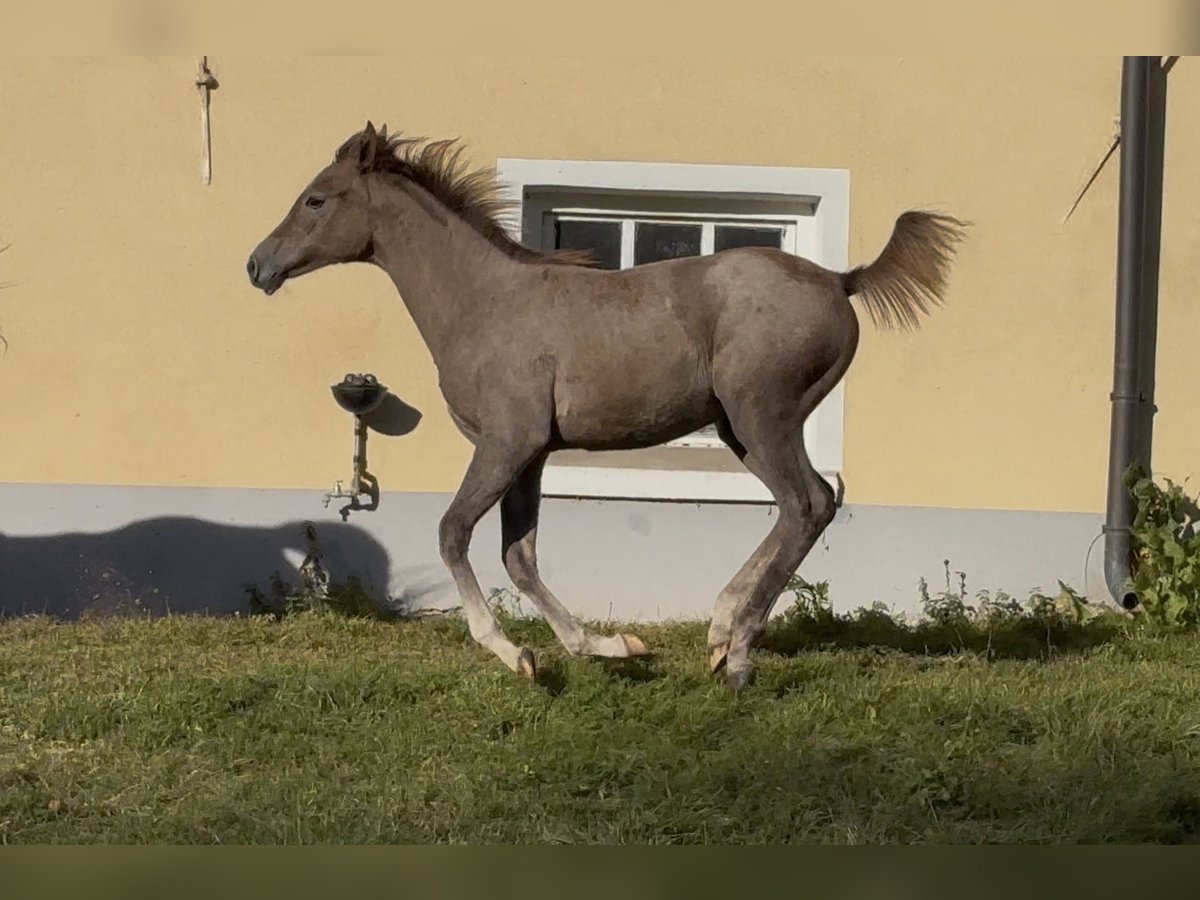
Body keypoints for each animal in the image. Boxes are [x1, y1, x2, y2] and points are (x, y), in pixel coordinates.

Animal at [247, 122, 967, 690]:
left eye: (316, 198)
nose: (258, 265)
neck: (483, 300)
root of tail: (841, 280)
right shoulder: (532, 454)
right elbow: (520, 556)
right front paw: (610, 646)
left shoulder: (504, 442)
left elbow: (454, 531)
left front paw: (515, 655)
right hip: (740, 428)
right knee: (802, 506)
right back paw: (717, 633)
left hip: (764, 415)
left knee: (808, 502)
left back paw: (736, 654)